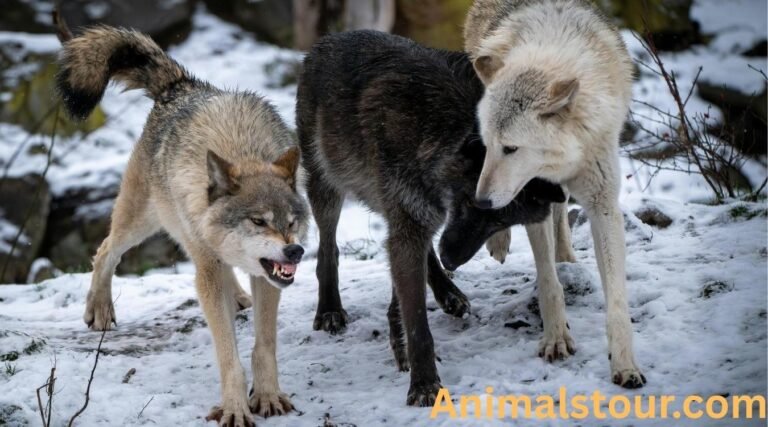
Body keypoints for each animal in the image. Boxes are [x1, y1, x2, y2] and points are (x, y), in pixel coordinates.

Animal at [56, 26, 308, 426]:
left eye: (291, 221)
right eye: (258, 221)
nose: (295, 250)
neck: (242, 149)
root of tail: (181, 85)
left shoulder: (267, 277)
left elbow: (264, 346)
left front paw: (267, 396)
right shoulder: (210, 264)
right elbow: (228, 355)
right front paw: (235, 407)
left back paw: (237, 296)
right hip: (144, 220)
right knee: (105, 250)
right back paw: (100, 309)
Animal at [296, 30, 563, 406]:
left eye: (500, 222)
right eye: (473, 204)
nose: (453, 259)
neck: (439, 127)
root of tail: (330, 39)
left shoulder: (417, 218)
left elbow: (408, 293)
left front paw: (402, 339)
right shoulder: (410, 221)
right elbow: (417, 321)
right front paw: (424, 384)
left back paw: (448, 292)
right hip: (328, 186)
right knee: (328, 247)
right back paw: (330, 309)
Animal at [463, 0, 645, 388]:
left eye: (511, 148)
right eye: (489, 146)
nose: (481, 202)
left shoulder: (603, 204)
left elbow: (617, 300)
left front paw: (625, 365)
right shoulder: (535, 198)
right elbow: (548, 282)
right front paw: (556, 338)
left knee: (563, 222)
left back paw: (566, 256)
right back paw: (500, 241)